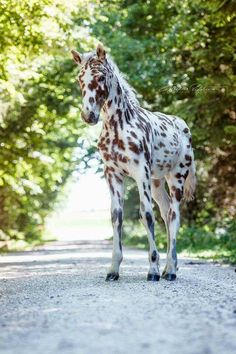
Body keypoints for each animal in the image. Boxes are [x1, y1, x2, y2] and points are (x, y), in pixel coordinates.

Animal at [71, 43, 195, 282]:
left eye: (101, 76)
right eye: (80, 78)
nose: (88, 115)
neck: (120, 125)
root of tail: (183, 127)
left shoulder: (140, 173)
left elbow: (146, 215)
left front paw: (153, 270)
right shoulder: (112, 175)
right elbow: (116, 216)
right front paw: (113, 269)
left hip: (176, 178)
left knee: (174, 216)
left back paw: (169, 271)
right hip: (157, 183)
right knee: (166, 213)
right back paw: (170, 267)